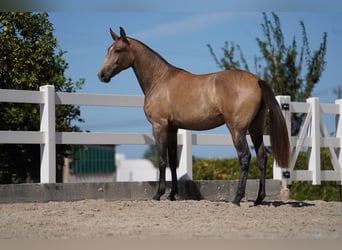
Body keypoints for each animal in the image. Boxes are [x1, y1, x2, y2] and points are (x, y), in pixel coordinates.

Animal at [97, 27, 290, 207]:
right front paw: (172, 194)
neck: (159, 79)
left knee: (245, 157)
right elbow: (172, 161)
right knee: (261, 157)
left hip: (237, 129)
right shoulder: (172, 129)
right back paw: (258, 199)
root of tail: (257, 81)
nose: (101, 75)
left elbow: (162, 160)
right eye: (108, 49)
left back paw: (237, 198)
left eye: (118, 50)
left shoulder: (159, 126)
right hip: (255, 127)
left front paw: (158, 194)